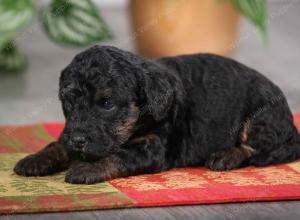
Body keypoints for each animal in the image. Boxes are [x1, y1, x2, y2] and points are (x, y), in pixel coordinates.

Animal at [14, 45, 300, 184]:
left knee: (255, 149)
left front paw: (87, 167)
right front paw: (36, 158)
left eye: (106, 103)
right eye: (68, 102)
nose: (78, 140)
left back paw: (226, 156)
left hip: (260, 116)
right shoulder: (69, 131)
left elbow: (119, 154)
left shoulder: (152, 146)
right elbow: (58, 143)